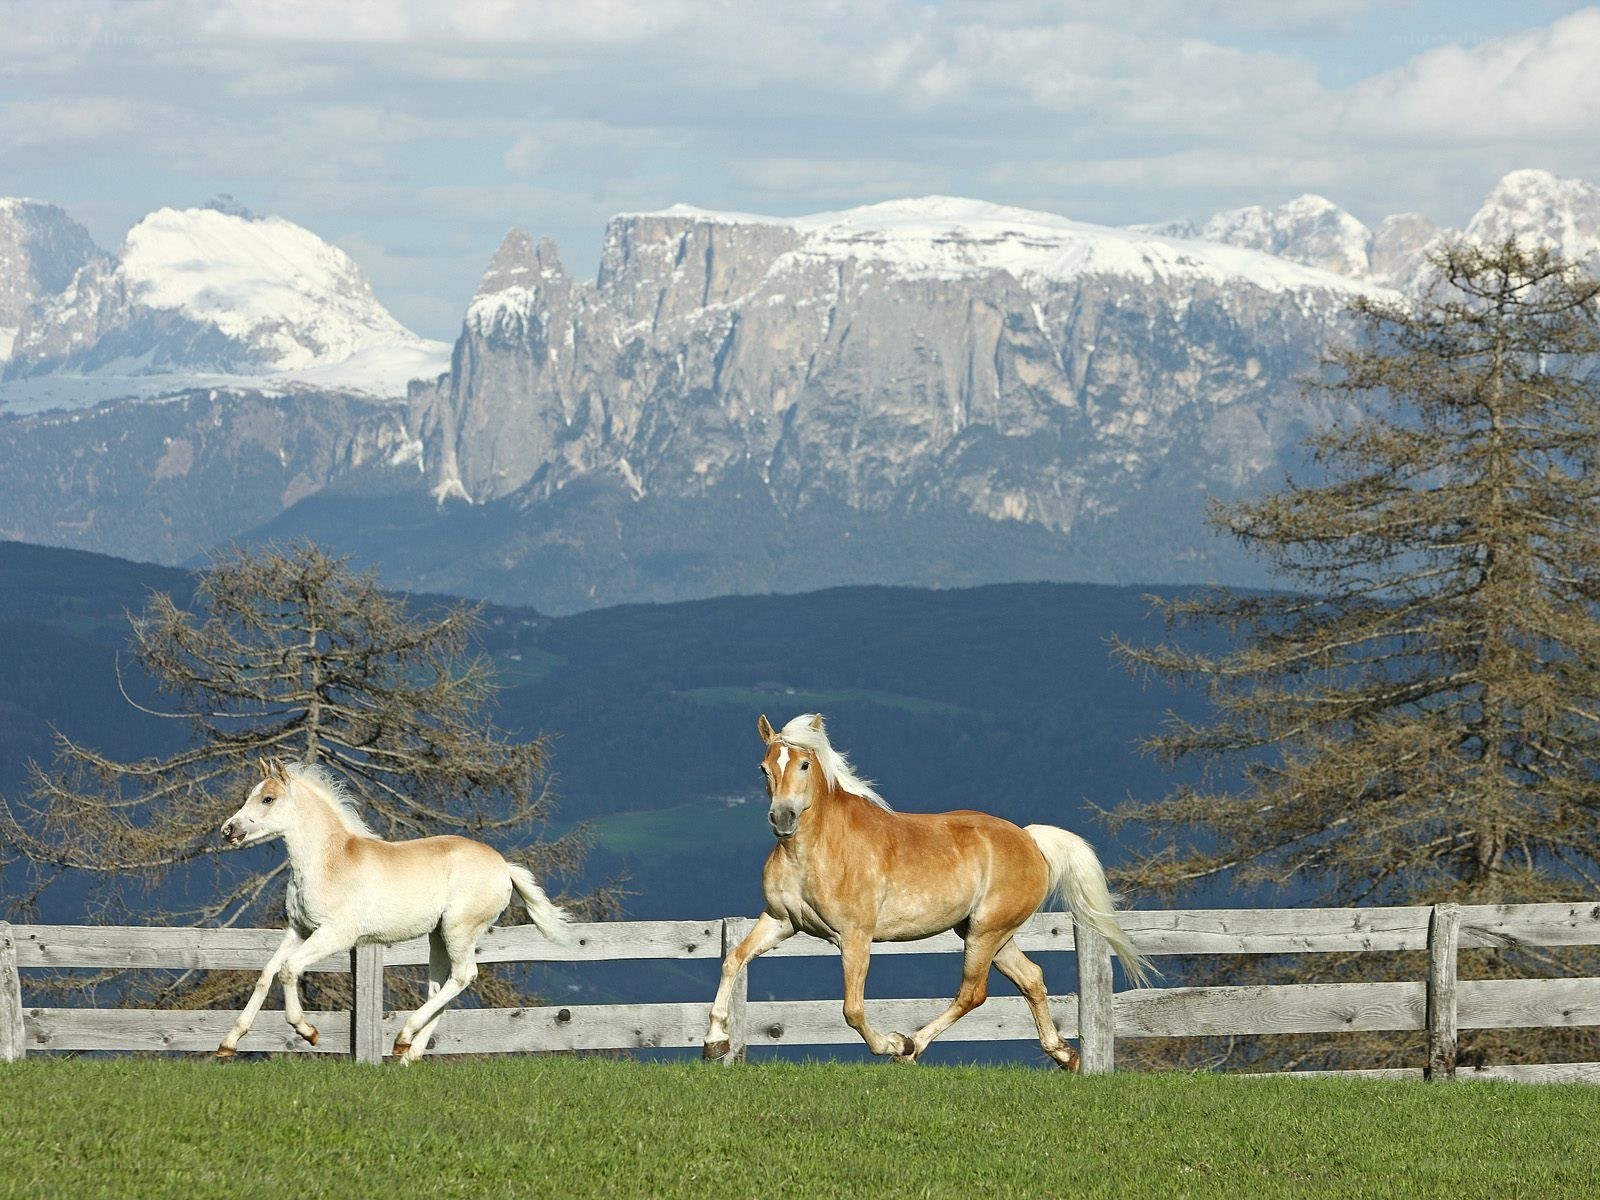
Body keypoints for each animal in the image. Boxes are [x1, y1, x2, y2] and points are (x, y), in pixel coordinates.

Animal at [215, 756, 568, 1062]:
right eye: (251, 795)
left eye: (268, 799)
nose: (228, 830)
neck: (328, 862)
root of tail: (504, 867)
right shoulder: (299, 930)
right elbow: (266, 974)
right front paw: (228, 1044)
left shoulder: (337, 935)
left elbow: (288, 970)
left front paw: (309, 1032)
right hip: (438, 936)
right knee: (440, 986)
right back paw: (407, 1055)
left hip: (459, 930)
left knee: (463, 976)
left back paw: (403, 1037)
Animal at [704, 713, 1152, 1068]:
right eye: (764, 768)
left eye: (803, 763)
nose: (783, 818)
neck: (815, 851)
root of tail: (1029, 839)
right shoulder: (781, 922)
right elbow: (733, 960)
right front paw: (714, 1043)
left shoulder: (855, 936)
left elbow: (852, 1009)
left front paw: (888, 1043)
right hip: (988, 933)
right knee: (1031, 979)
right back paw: (1064, 1055)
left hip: (986, 932)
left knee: (972, 993)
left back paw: (910, 1046)